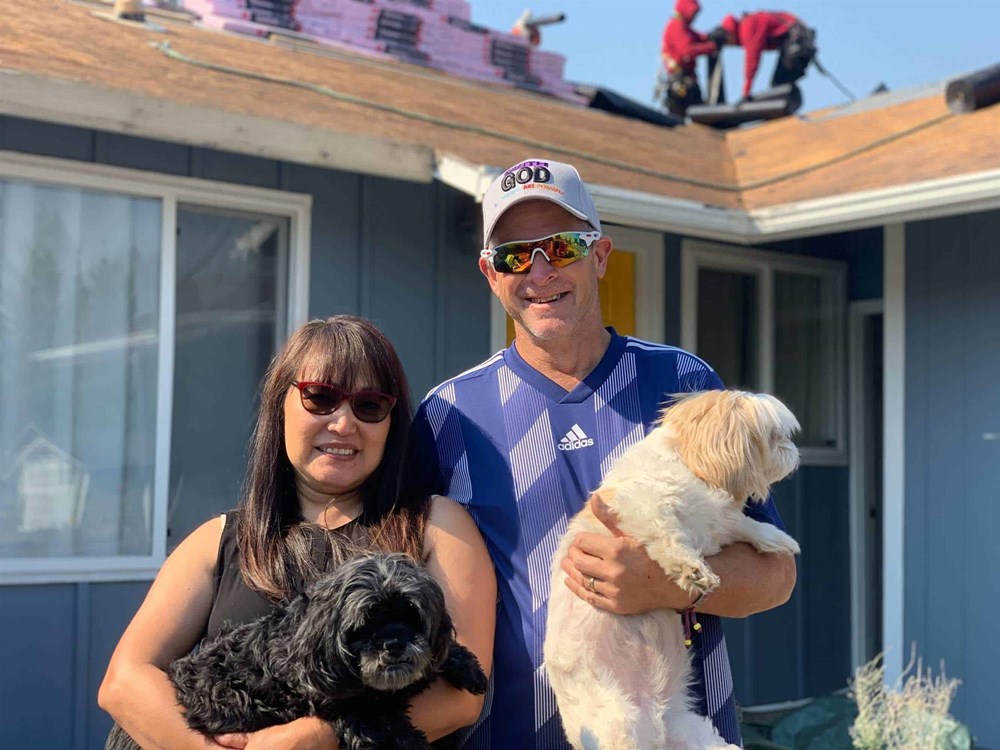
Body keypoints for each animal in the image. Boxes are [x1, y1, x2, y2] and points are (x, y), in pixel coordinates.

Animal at [105, 552, 488, 750]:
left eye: (410, 615)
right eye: (365, 625)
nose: (394, 643)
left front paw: (467, 666)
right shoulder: (355, 714)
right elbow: (392, 734)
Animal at [544, 390, 800, 748]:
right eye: (775, 437)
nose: (794, 452)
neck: (691, 467)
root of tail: (656, 727)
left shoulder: (718, 526)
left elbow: (743, 525)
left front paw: (777, 539)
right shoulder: (643, 509)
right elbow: (668, 537)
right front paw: (694, 571)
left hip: (691, 731)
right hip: (618, 723)